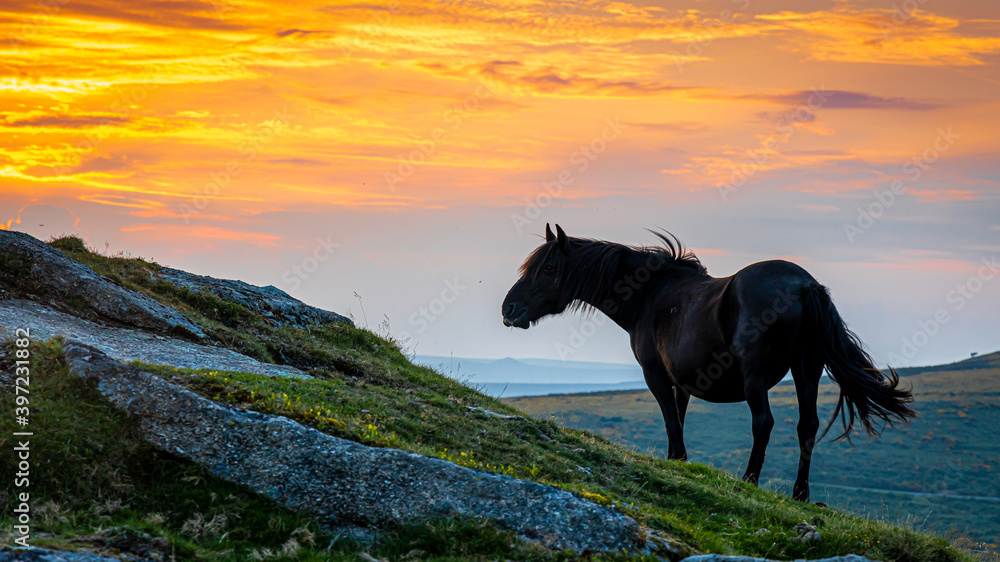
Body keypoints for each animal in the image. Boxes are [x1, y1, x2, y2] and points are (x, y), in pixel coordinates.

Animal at [501, 224, 915, 502]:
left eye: (549, 269)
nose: (509, 309)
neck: (651, 295)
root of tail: (804, 285)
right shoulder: (683, 382)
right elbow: (679, 418)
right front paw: (677, 463)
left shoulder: (655, 375)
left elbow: (671, 421)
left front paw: (679, 461)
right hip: (806, 370)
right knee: (807, 426)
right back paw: (800, 495)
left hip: (756, 377)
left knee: (764, 422)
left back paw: (749, 480)